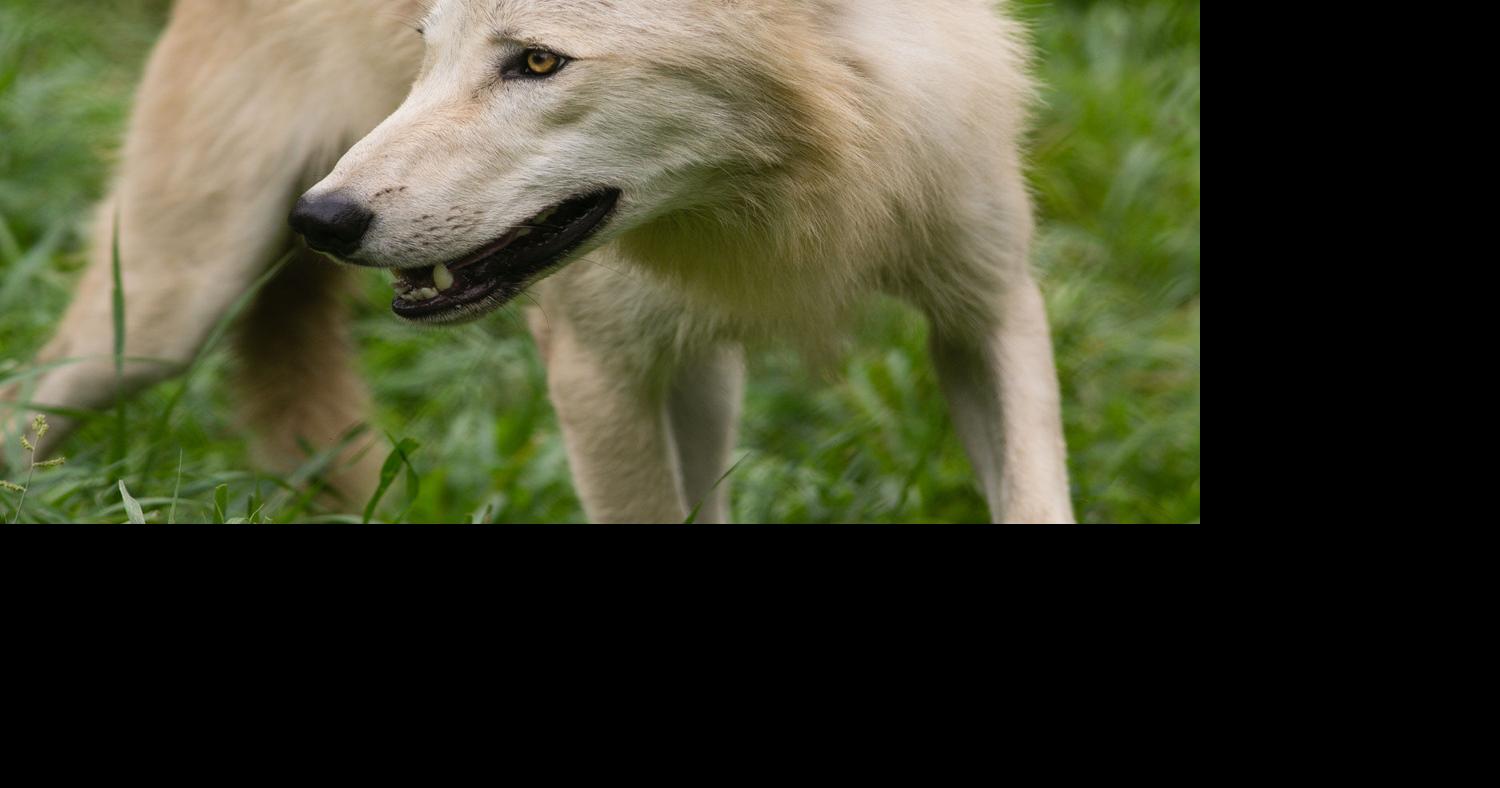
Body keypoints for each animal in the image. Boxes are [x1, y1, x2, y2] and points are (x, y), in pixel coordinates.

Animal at [3, 0, 1075, 523]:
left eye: (540, 62)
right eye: (427, 49)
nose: (322, 219)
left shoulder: (991, 307)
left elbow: (1034, 496)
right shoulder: (595, 372)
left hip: (702, 376)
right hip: (161, 316)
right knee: (29, 396)